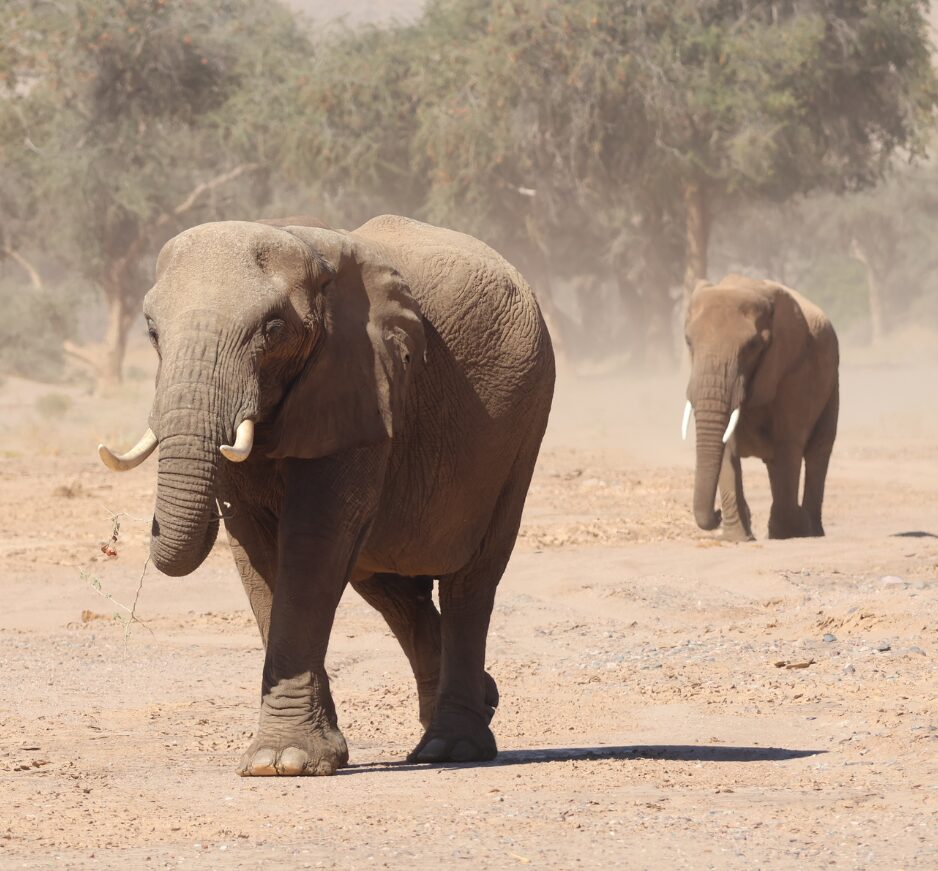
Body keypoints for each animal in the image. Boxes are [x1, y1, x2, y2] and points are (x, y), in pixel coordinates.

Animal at [97, 214, 555, 775]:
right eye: (151, 330)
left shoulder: (361, 384)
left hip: (523, 424)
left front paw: (284, 761)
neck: (304, 245)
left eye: (273, 329)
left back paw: (453, 748)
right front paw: (290, 760)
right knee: (389, 587)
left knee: (471, 581)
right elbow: (255, 546)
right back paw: (470, 712)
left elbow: (314, 540)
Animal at [682, 274, 839, 540]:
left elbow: (788, 442)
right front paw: (736, 538)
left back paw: (808, 530)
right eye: (688, 342)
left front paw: (788, 531)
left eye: (753, 346)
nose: (716, 514)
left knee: (817, 452)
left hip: (832, 386)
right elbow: (727, 445)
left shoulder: (794, 369)